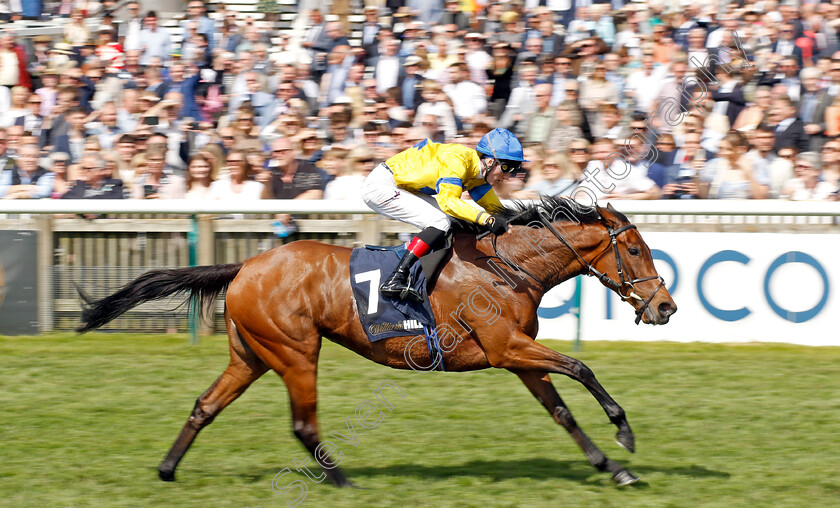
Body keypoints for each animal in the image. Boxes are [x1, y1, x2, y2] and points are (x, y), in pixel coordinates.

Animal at [77, 198, 676, 488]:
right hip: (296, 351)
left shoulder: (517, 356)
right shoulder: (505, 348)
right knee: (303, 423)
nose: (666, 308)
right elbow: (581, 367)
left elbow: (562, 411)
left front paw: (613, 468)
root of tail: (246, 265)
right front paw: (624, 433)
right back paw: (342, 481)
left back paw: (167, 469)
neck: (507, 267)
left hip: (251, 356)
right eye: (637, 250)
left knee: (205, 405)